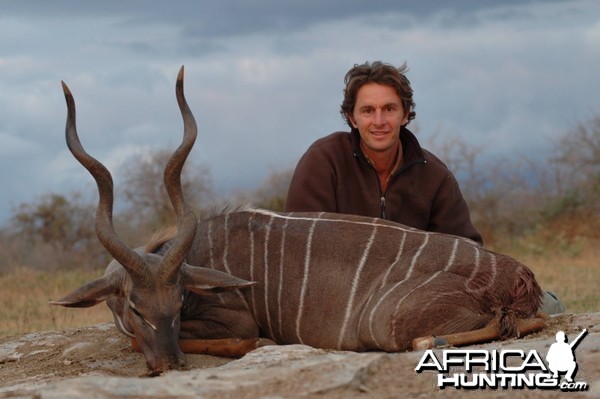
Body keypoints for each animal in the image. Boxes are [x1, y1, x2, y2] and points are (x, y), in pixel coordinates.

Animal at [54, 65, 548, 376]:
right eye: (136, 306)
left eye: (178, 304)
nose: (170, 364)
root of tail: (514, 274)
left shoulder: (234, 321)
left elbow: (217, 339)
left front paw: (262, 345)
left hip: (385, 323)